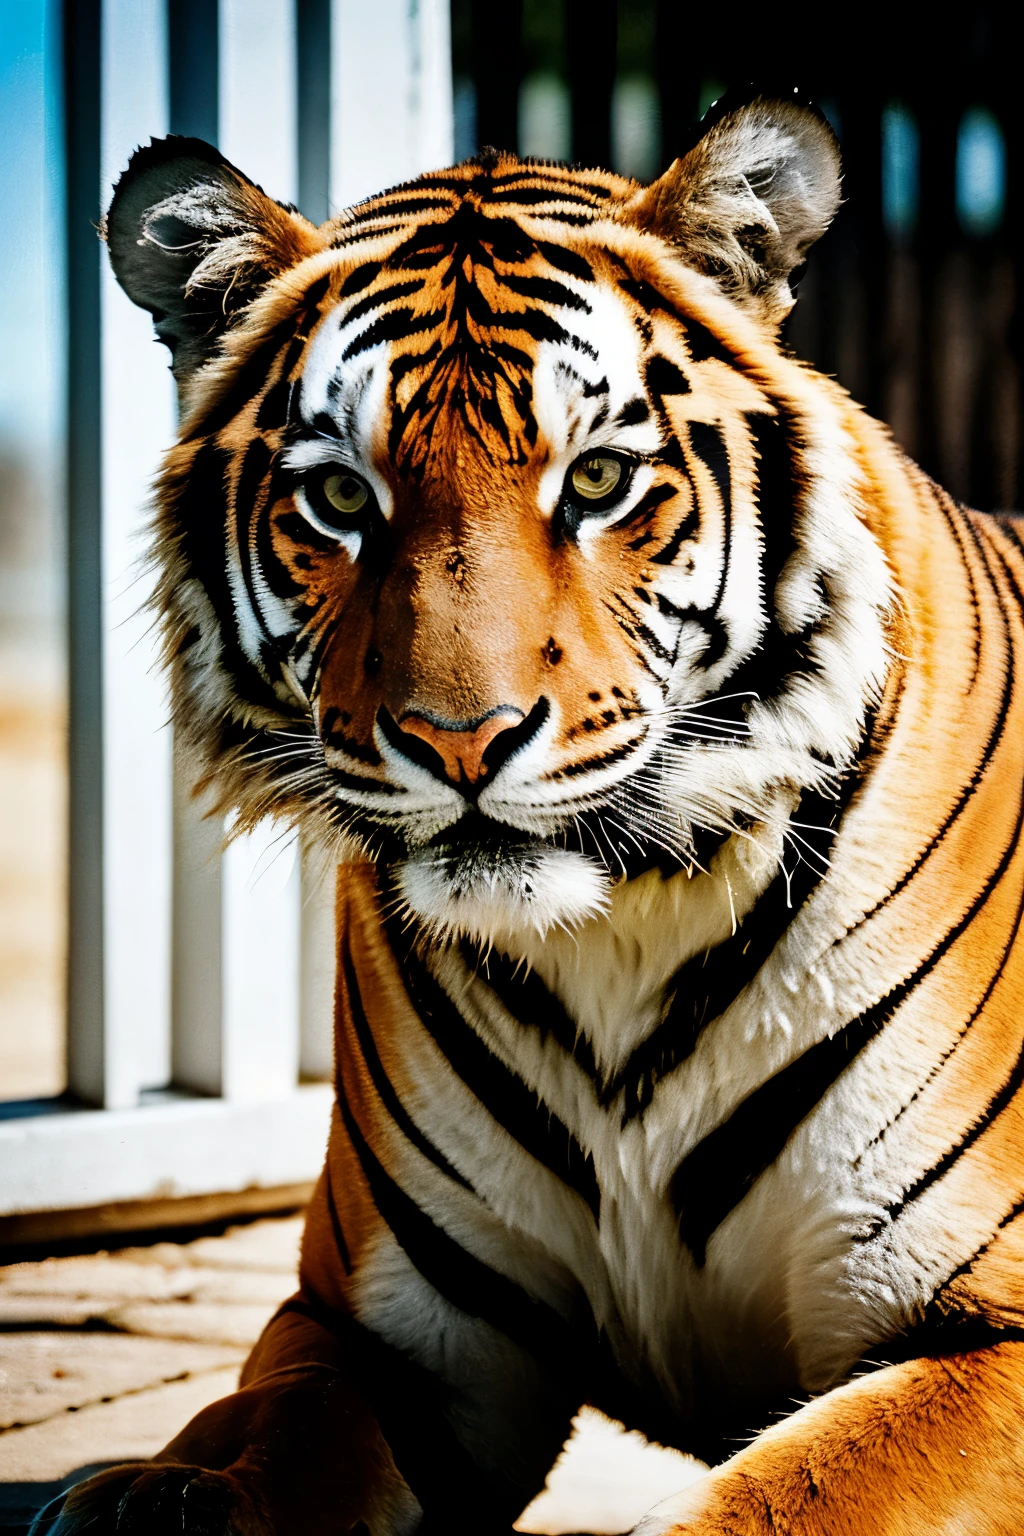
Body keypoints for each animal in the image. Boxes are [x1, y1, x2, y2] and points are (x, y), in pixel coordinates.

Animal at [44, 96, 1024, 1536]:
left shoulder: (983, 1327)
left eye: (602, 479)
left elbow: (767, 1504)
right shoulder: (380, 1330)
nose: (461, 738)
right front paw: (159, 1494)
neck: (617, 942)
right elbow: (272, 1423)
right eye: (342, 498)